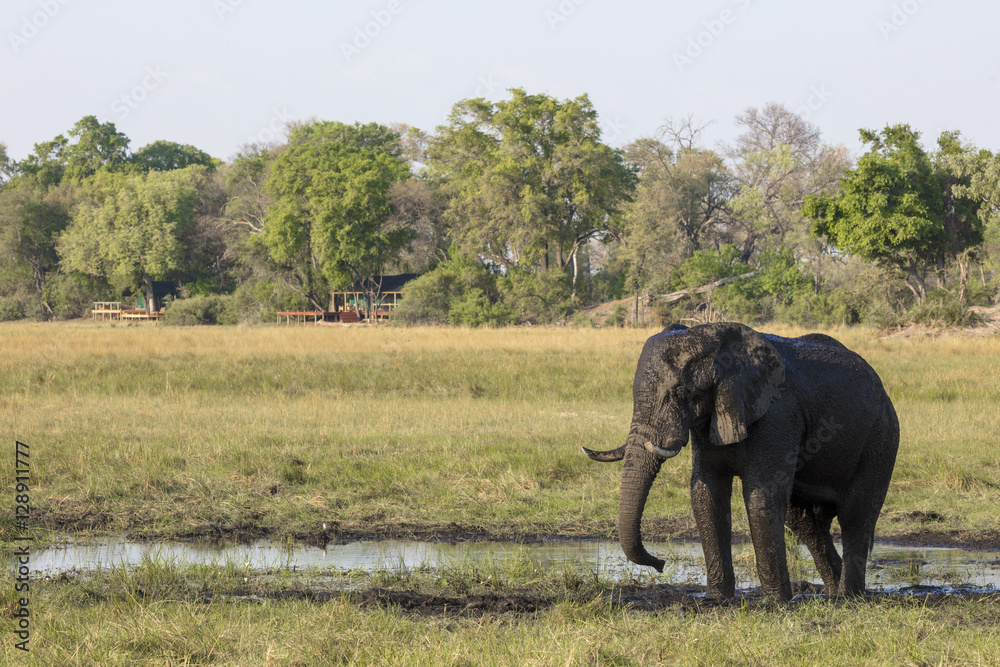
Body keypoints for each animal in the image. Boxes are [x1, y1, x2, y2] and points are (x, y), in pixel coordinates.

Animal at [580, 320, 900, 604]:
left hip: (880, 440)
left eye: (682, 392)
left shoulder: (778, 413)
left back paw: (849, 597)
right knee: (803, 522)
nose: (661, 564)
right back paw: (833, 593)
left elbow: (761, 496)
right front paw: (715, 599)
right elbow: (705, 494)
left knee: (855, 515)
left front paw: (774, 603)